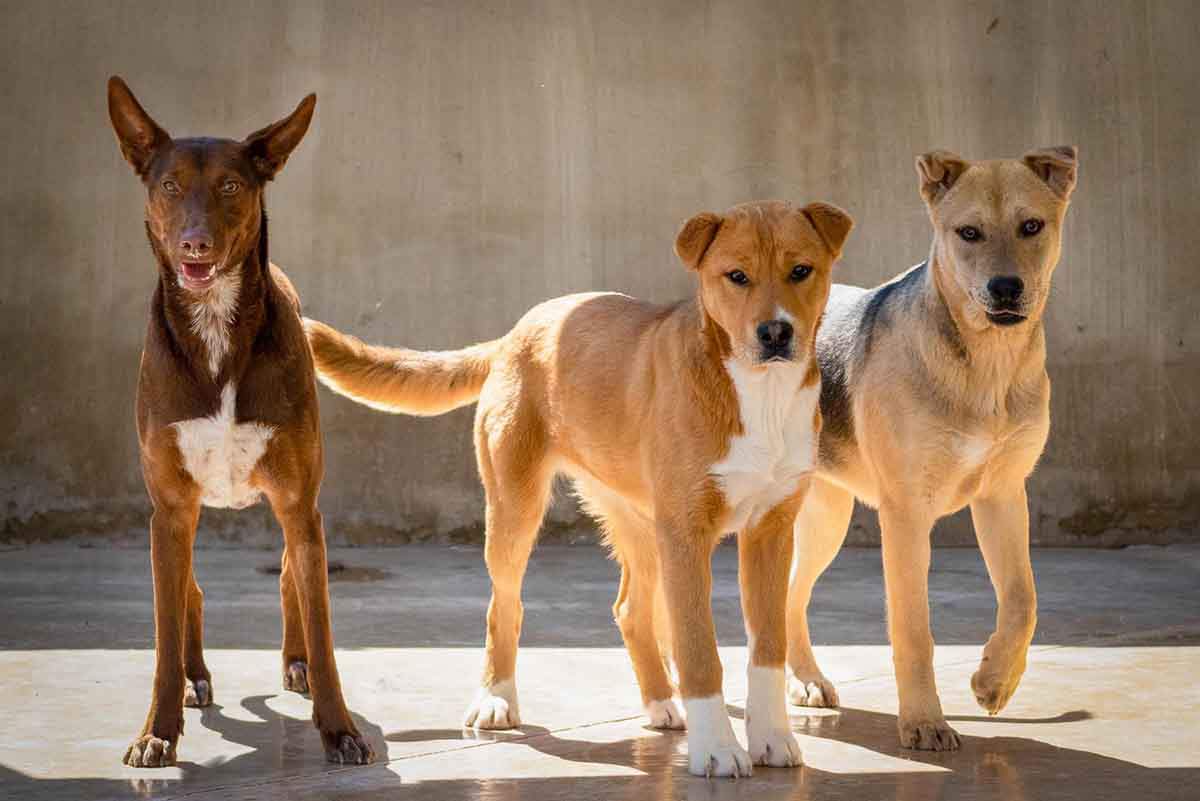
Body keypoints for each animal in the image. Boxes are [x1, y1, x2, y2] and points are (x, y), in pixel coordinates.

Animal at [107, 77, 372, 767]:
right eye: (169, 185)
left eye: (231, 185)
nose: (195, 245)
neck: (215, 327)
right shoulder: (170, 509)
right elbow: (165, 632)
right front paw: (157, 730)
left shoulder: (301, 504)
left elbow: (321, 621)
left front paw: (338, 727)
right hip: (180, 520)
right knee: (190, 595)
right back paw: (196, 675)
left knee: (289, 580)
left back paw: (295, 662)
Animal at [304, 200, 854, 777]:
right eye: (737, 276)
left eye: (801, 271)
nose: (776, 333)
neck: (759, 394)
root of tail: (519, 330)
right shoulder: (687, 532)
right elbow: (699, 650)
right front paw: (718, 750)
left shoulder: (771, 530)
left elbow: (766, 648)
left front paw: (771, 737)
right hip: (517, 510)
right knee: (504, 607)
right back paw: (497, 699)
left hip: (640, 523)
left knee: (631, 611)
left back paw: (661, 703)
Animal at [787, 145, 1080, 753]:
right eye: (968, 232)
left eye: (1032, 226)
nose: (1005, 288)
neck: (986, 365)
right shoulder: (905, 514)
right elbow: (914, 630)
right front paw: (923, 721)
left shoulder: (1001, 495)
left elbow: (1023, 601)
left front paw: (995, 681)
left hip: (825, 518)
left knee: (787, 599)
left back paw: (804, 681)